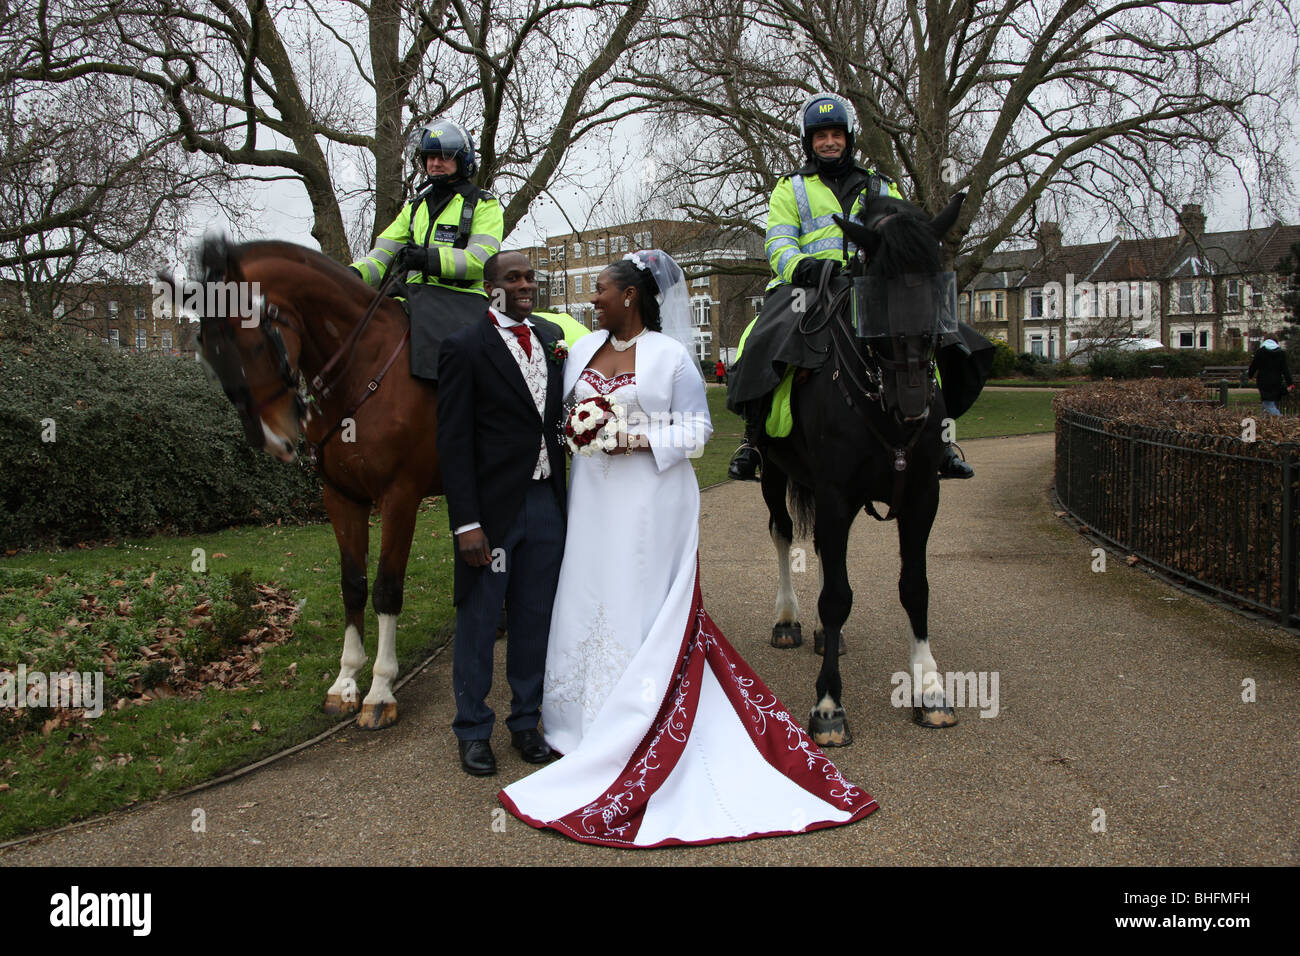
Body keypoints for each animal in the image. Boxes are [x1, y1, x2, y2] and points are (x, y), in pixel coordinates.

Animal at [156, 235, 441, 728]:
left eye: (250, 343)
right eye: (205, 350)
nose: (269, 440)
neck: (365, 368)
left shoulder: (400, 496)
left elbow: (386, 588)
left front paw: (381, 689)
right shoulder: (341, 496)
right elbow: (353, 585)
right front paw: (346, 682)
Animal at [759, 191, 967, 749]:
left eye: (940, 283)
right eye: (872, 292)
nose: (913, 401)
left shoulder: (922, 497)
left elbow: (915, 587)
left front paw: (929, 688)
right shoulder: (835, 498)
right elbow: (836, 596)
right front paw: (829, 704)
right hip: (773, 473)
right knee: (783, 532)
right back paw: (787, 618)